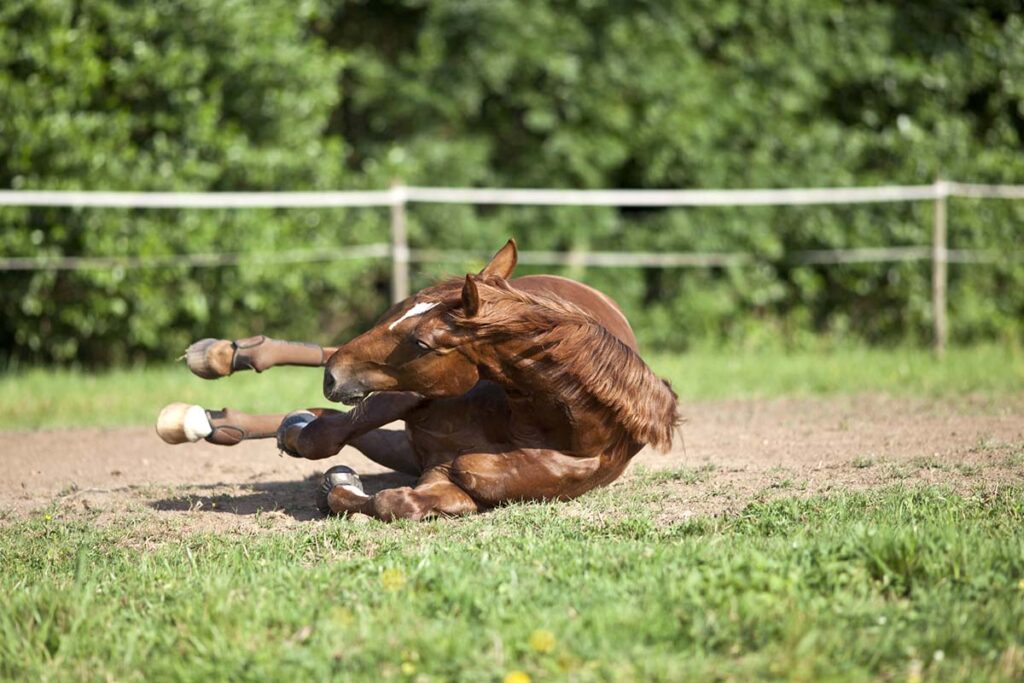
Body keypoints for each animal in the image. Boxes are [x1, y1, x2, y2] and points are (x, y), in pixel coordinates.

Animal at [156, 239, 680, 520]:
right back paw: (222, 360)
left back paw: (221, 420)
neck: (536, 426)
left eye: (423, 343)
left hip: (404, 439)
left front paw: (340, 484)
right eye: (407, 314)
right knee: (327, 371)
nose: (333, 377)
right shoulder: (412, 393)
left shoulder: (450, 482)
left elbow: (394, 501)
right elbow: (327, 435)